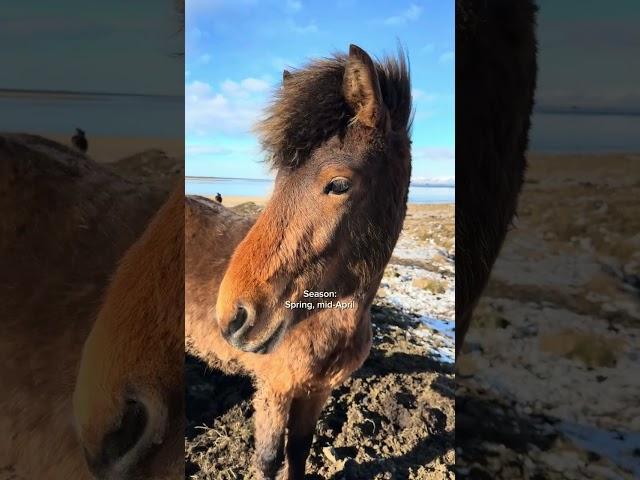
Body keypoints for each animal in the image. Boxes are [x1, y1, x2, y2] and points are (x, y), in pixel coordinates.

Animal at [188, 44, 412, 476]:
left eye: (339, 184)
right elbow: (269, 460)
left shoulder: (316, 392)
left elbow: (300, 451)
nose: (233, 317)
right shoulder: (275, 389)